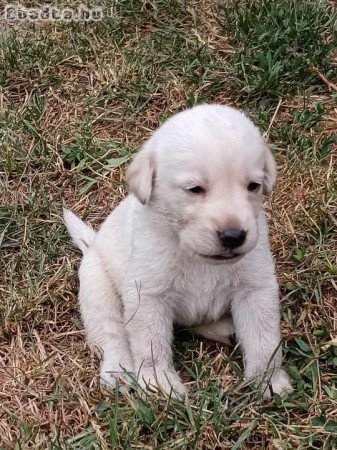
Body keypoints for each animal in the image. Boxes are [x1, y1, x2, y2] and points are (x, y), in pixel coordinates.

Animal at [63, 104, 292, 398]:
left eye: (253, 185)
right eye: (194, 189)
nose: (234, 236)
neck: (192, 253)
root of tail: (92, 243)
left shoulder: (255, 288)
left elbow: (264, 340)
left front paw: (268, 379)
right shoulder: (148, 295)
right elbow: (151, 344)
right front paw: (159, 381)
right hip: (97, 288)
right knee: (111, 334)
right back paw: (118, 370)